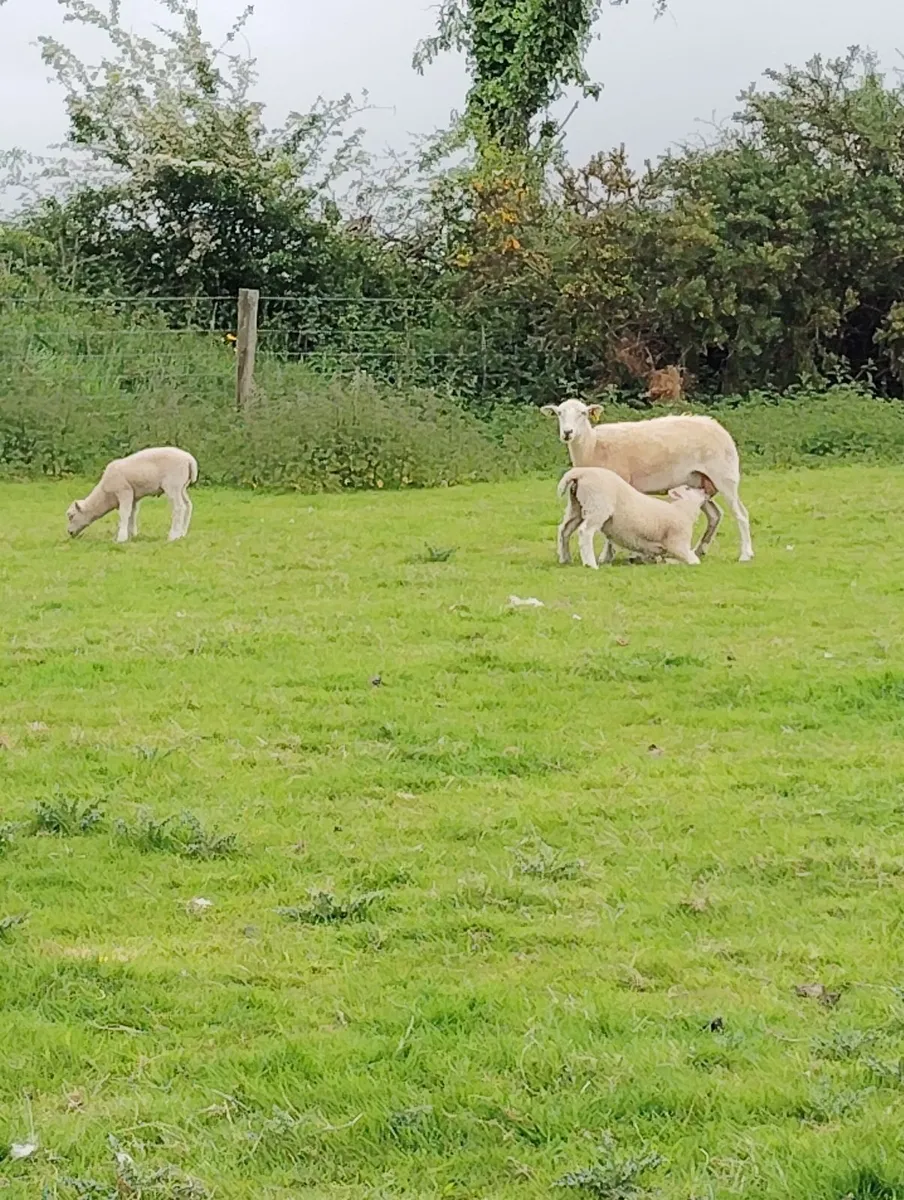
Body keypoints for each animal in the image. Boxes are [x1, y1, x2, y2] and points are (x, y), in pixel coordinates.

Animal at [66, 447, 198, 543]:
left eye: (71, 516)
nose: (69, 533)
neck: (105, 495)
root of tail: (189, 459)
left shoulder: (124, 492)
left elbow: (124, 513)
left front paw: (121, 538)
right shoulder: (134, 496)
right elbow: (132, 513)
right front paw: (131, 534)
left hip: (172, 486)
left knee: (179, 508)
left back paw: (173, 536)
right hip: (182, 487)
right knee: (188, 506)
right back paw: (182, 533)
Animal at [557, 467, 708, 569]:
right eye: (688, 489)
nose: (704, 490)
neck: (682, 510)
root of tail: (581, 473)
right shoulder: (677, 543)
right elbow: (694, 560)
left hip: (576, 506)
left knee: (564, 530)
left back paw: (565, 559)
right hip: (598, 506)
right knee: (585, 532)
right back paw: (590, 563)